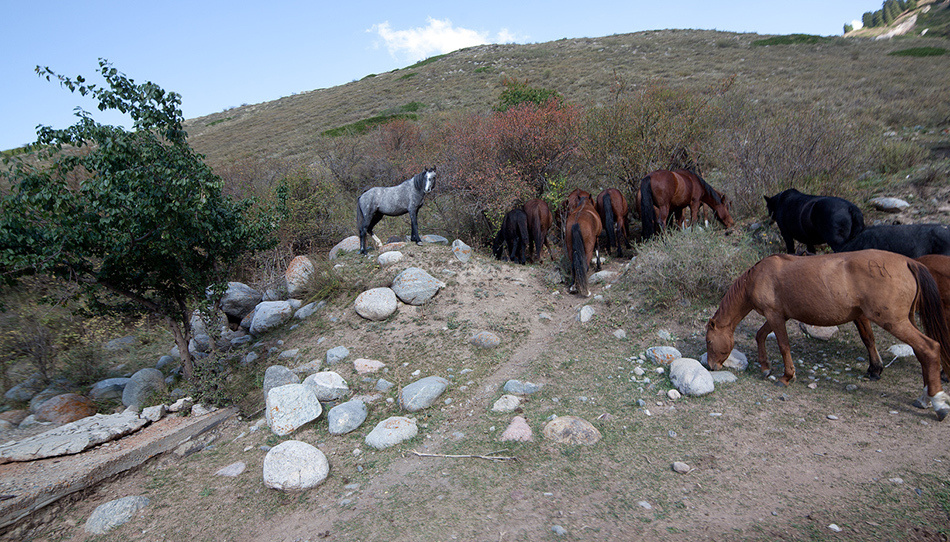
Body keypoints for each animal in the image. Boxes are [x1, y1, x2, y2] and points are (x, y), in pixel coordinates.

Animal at [705, 250, 950, 420]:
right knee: (922, 352)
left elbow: (783, 345)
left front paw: (787, 376)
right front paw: (765, 367)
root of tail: (909, 262)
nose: (712, 366)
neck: (758, 276)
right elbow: (760, 335)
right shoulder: (778, 317)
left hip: (896, 323)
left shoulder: (775, 316)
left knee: (930, 348)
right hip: (905, 321)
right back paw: (925, 397)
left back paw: (938, 403)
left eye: (708, 341)